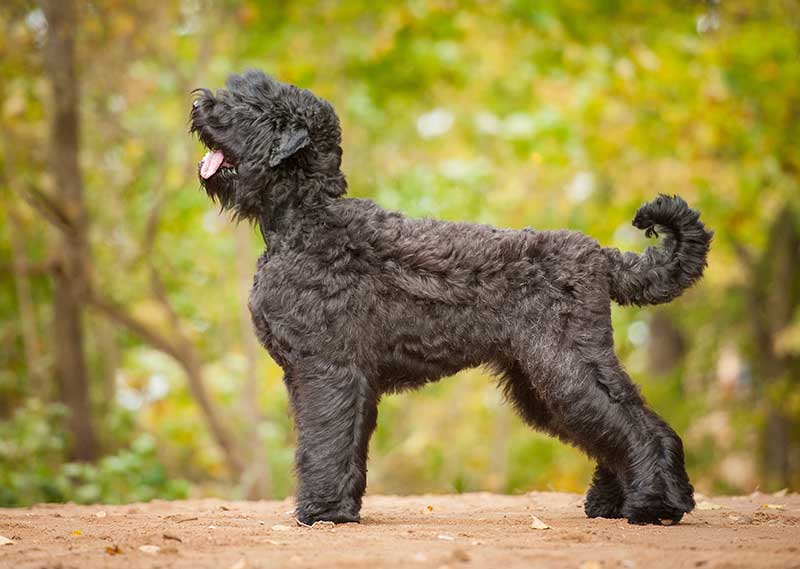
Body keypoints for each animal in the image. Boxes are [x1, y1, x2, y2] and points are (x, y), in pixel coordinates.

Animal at [189, 70, 712, 524]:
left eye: (253, 107)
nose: (199, 104)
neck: (306, 221)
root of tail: (601, 255)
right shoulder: (336, 376)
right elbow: (344, 444)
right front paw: (342, 509)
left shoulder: (326, 367)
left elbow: (324, 440)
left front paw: (322, 513)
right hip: (540, 379)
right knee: (616, 428)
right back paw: (614, 503)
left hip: (564, 366)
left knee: (636, 426)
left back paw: (655, 506)